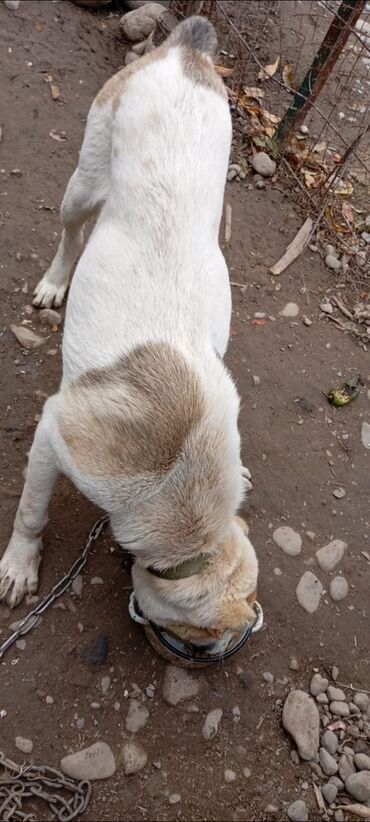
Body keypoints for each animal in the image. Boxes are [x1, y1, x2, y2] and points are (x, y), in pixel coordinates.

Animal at [0, 14, 258, 652]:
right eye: (200, 642)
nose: (225, 647)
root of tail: (186, 49)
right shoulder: (53, 434)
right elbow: (31, 511)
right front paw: (19, 564)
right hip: (83, 184)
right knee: (71, 234)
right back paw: (54, 284)